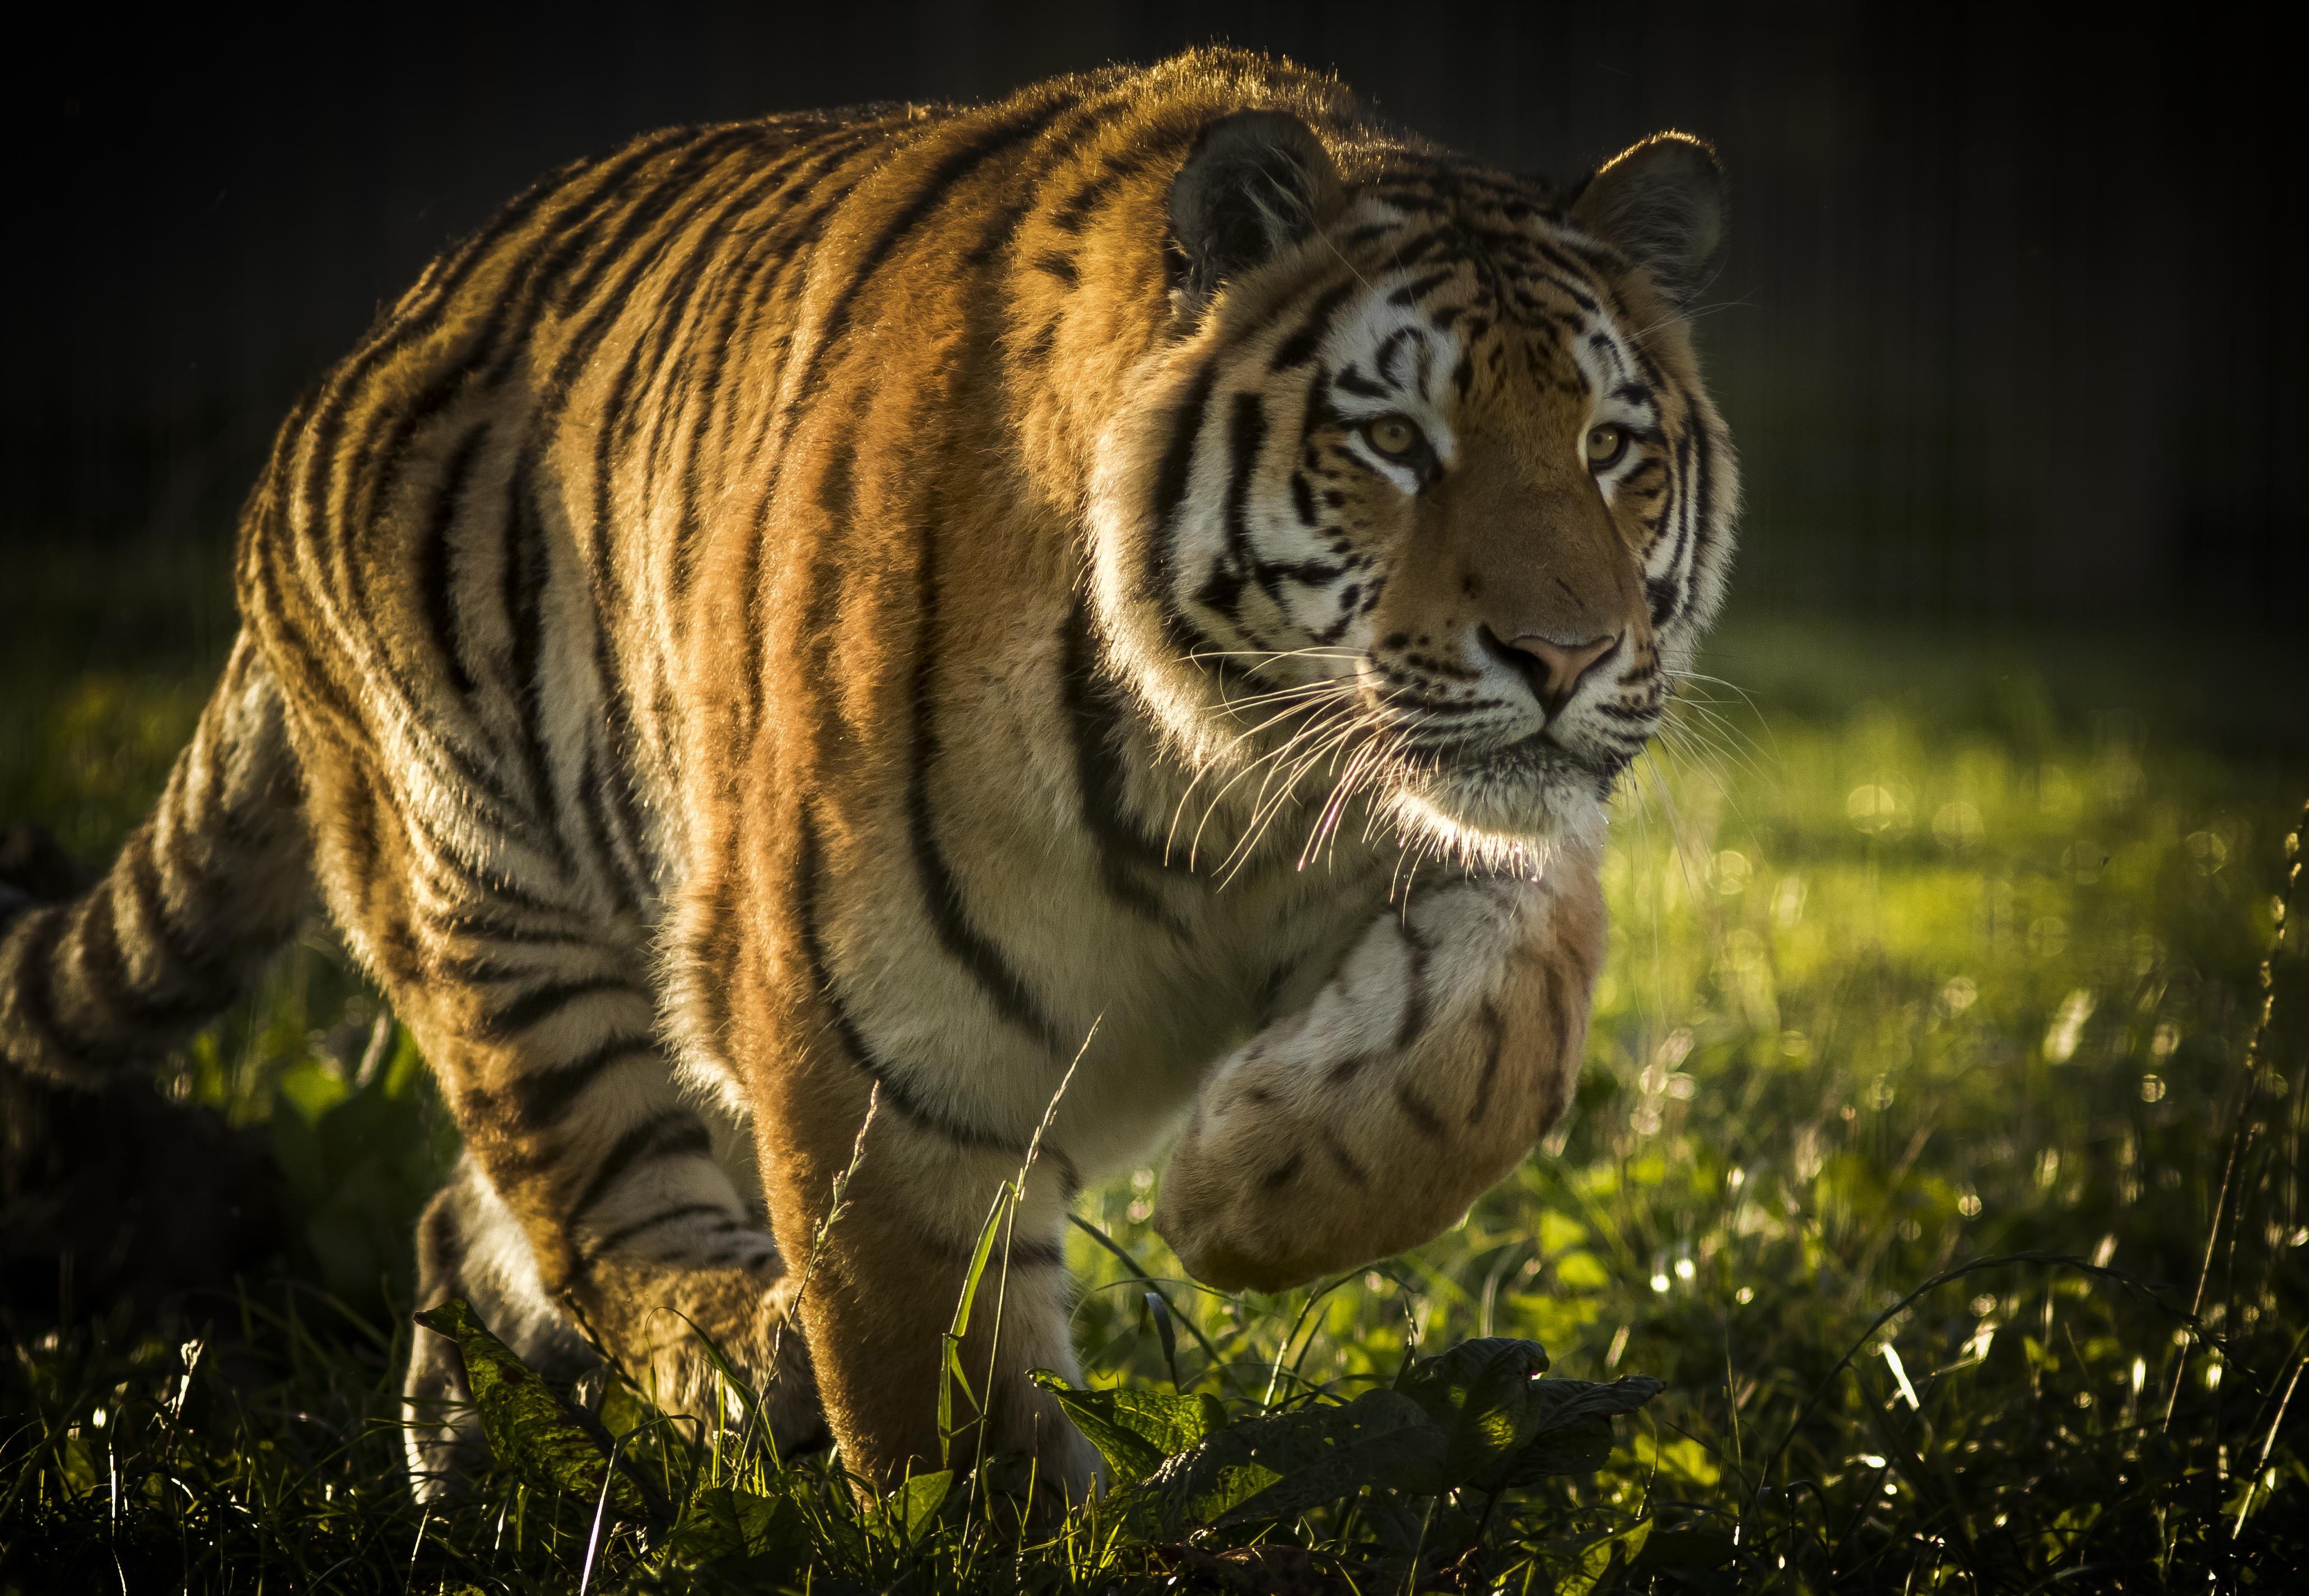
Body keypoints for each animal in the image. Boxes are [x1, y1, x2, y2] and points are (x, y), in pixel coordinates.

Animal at [0, 43, 1736, 1506]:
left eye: (1609, 448)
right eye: (1390, 441)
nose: (1563, 655)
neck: (1222, 785)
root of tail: (336, 377)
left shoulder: (1467, 841)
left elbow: (1497, 1050)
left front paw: (1240, 1190)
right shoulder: (866, 1041)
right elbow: (930, 1373)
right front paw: (996, 1520)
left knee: (464, 1231)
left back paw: (478, 1494)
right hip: (497, 909)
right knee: (592, 1229)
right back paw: (738, 1364)